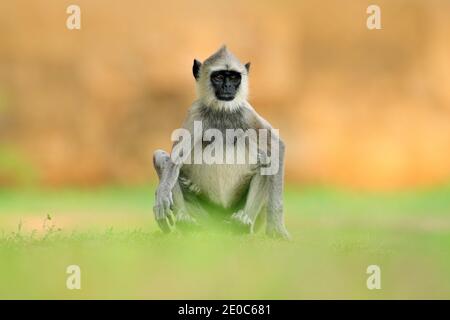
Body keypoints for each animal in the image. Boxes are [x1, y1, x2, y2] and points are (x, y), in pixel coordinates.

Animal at [153, 45, 290, 240]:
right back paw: (186, 221)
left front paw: (276, 226)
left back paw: (242, 223)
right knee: (160, 157)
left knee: (266, 160)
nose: (227, 87)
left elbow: (277, 146)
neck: (222, 111)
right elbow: (175, 158)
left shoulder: (246, 112)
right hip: (206, 216)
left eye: (233, 77)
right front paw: (161, 194)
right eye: (218, 77)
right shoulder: (195, 112)